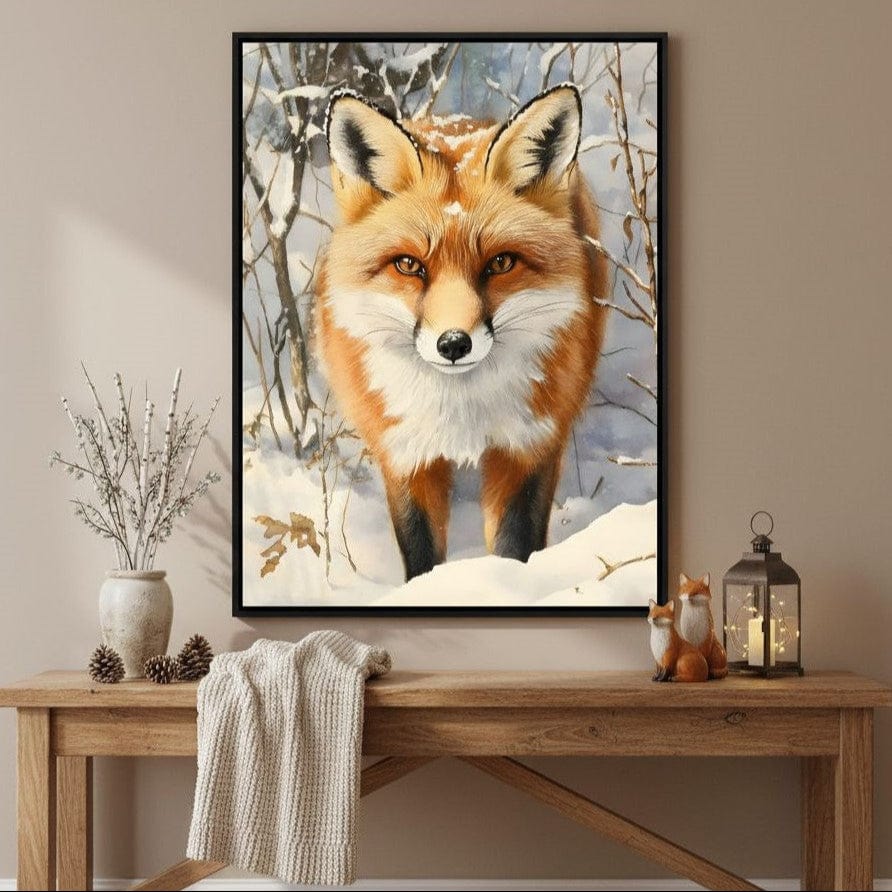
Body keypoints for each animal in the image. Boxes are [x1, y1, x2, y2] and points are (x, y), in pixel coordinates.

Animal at [315, 84, 608, 581]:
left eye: (500, 263)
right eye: (408, 265)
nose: (454, 343)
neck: (460, 410)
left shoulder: (529, 446)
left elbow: (514, 546)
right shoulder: (405, 453)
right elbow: (421, 554)